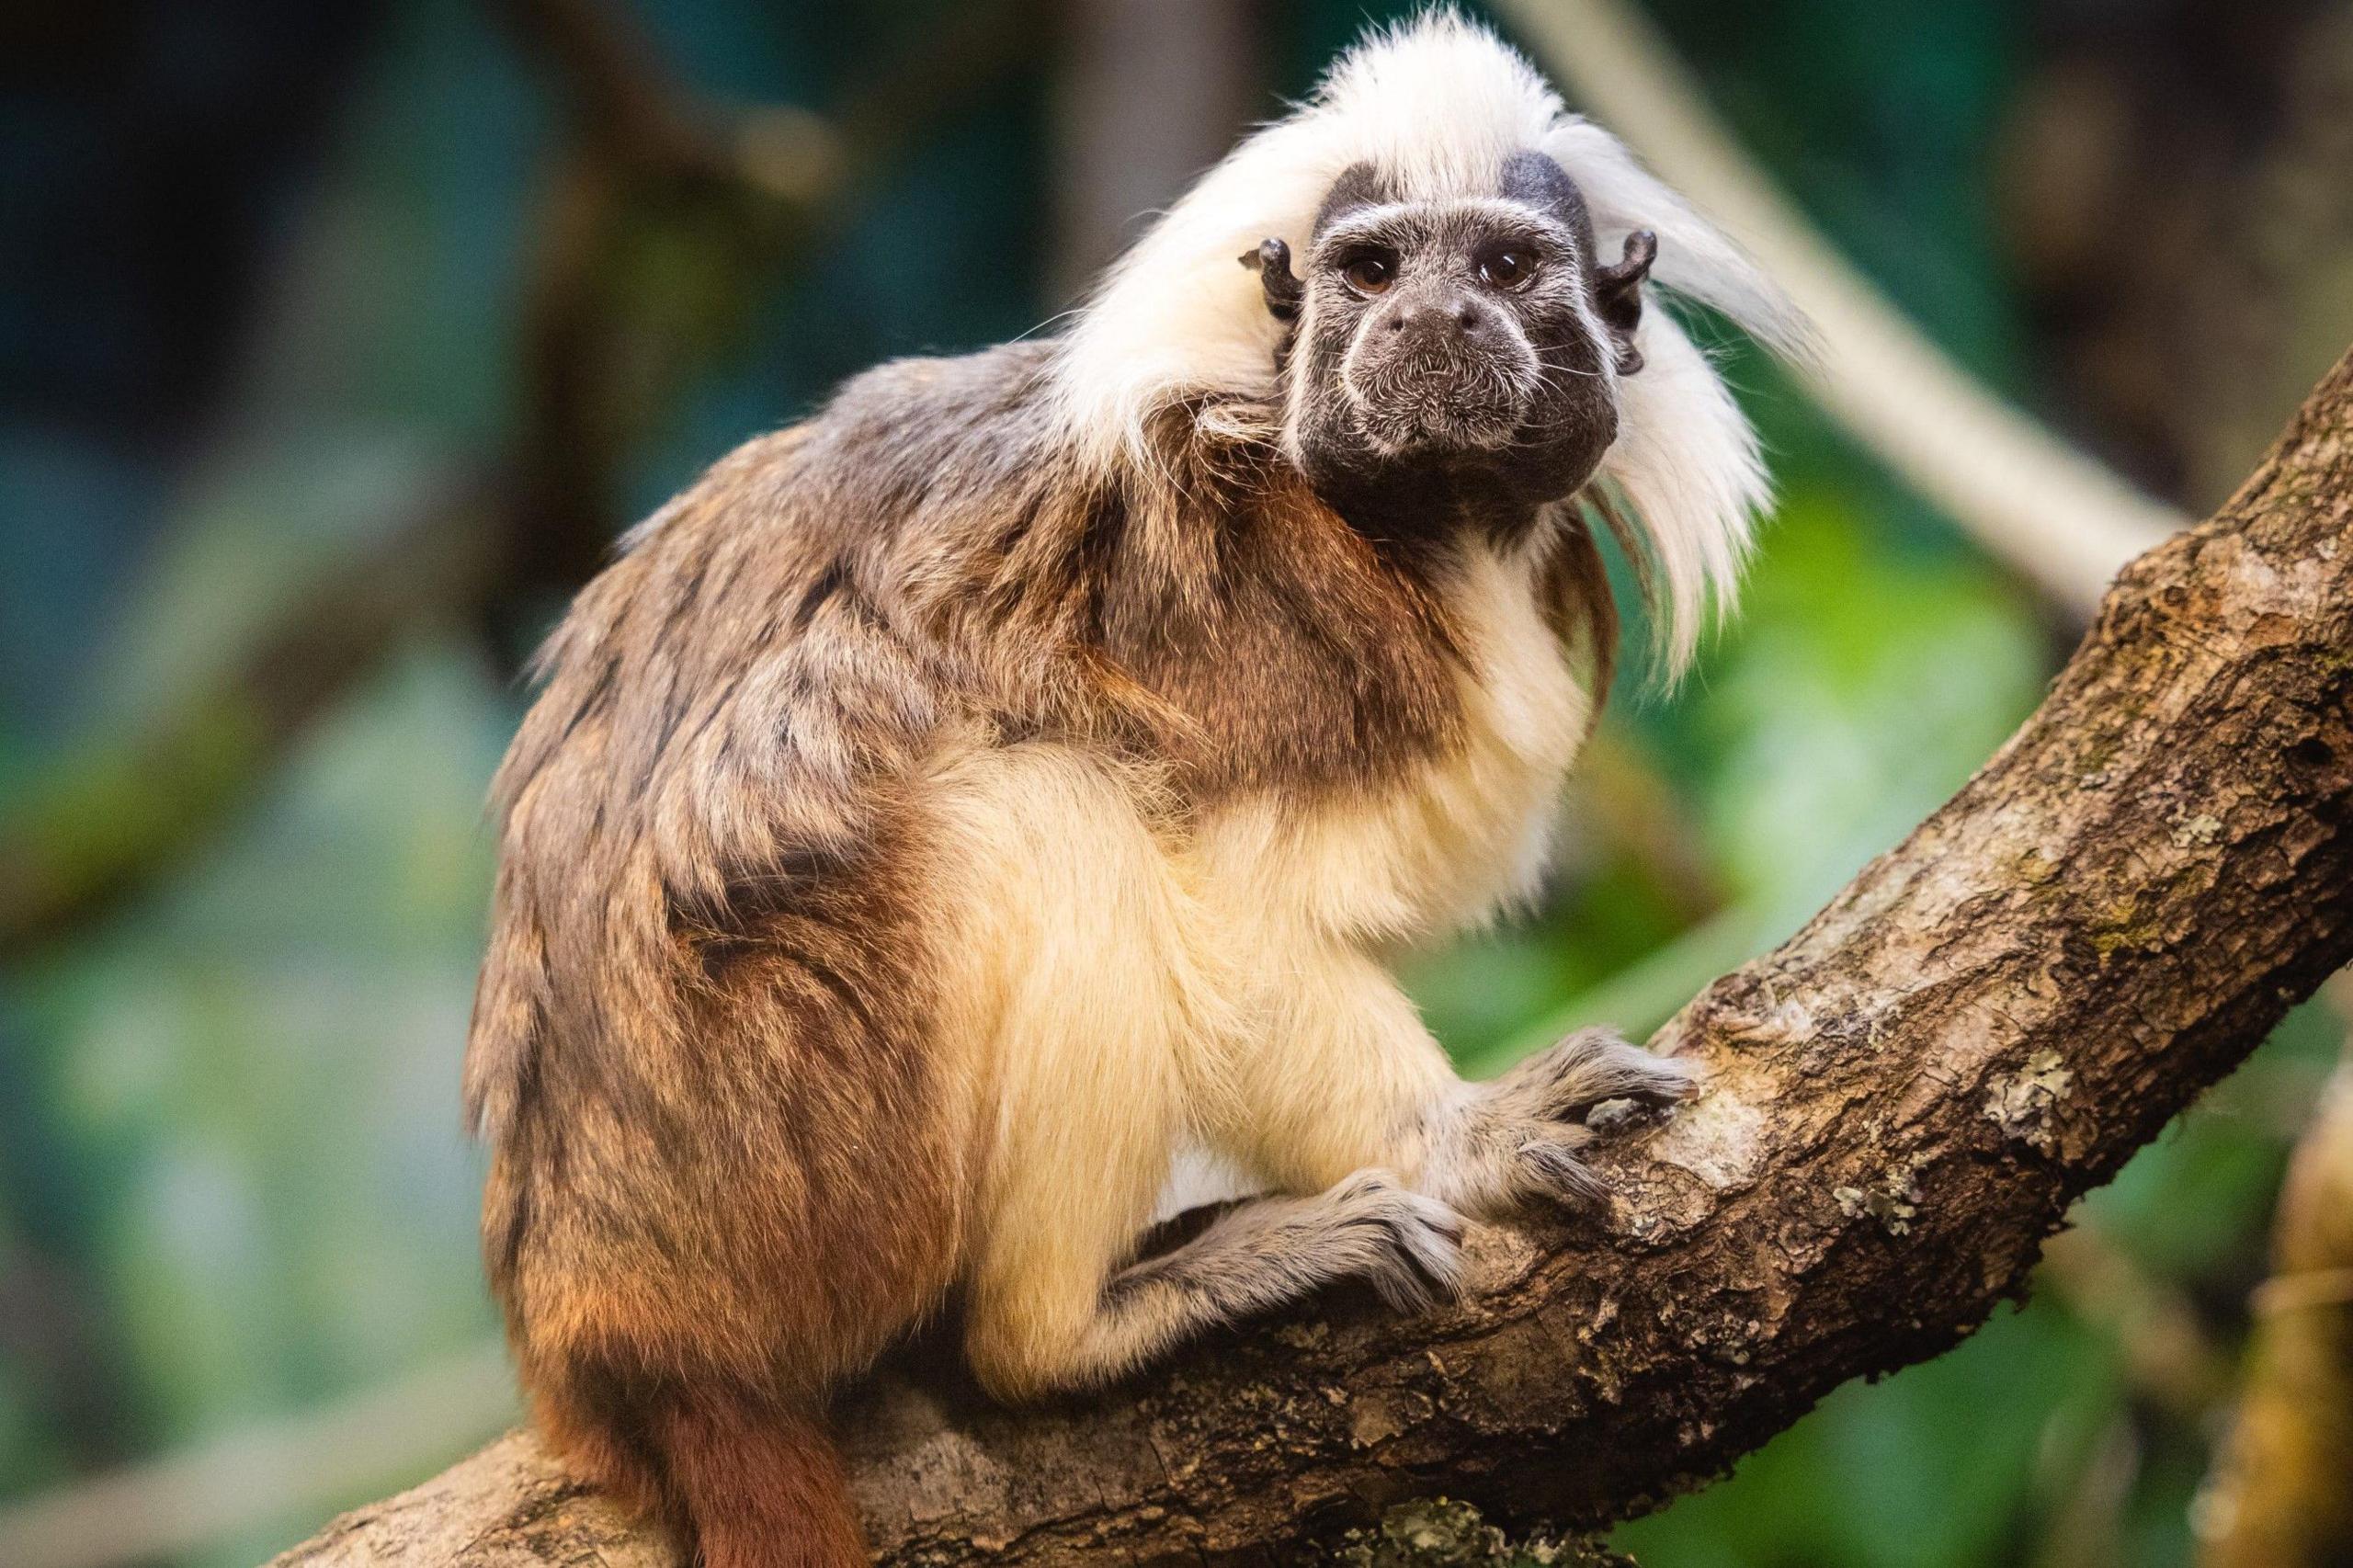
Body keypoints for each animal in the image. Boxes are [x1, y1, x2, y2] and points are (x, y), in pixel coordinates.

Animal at [463, 15, 1797, 1562]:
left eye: (1511, 267)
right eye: (1373, 272)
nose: (1436, 324)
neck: (1427, 532)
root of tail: (622, 1338)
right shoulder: (1253, 632)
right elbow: (1231, 917)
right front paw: (1467, 1137)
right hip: (803, 1146)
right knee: (1043, 818)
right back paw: (1081, 1324)